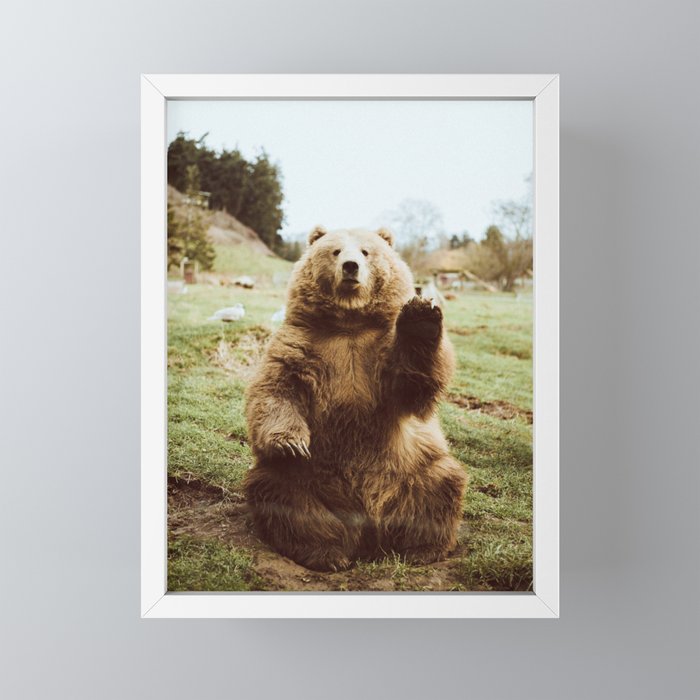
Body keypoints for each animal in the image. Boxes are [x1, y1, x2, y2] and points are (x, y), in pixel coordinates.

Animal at [242, 225, 467, 572]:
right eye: (335, 251)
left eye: (365, 251)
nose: (350, 267)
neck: (349, 323)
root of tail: (368, 528)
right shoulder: (300, 345)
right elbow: (276, 390)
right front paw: (291, 443)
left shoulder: (378, 354)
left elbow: (412, 384)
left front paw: (420, 316)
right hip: (309, 478)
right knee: (281, 494)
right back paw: (327, 553)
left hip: (412, 467)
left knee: (440, 484)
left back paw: (421, 549)